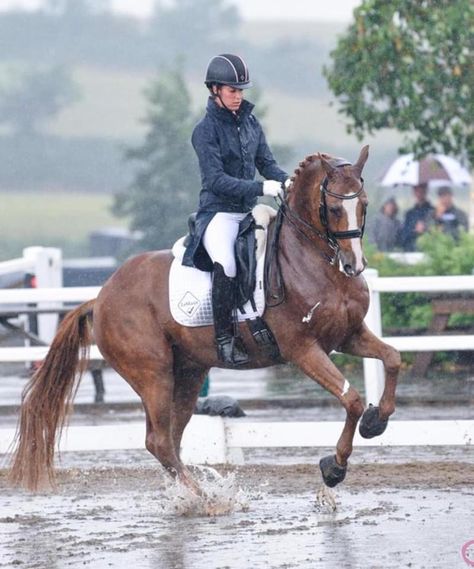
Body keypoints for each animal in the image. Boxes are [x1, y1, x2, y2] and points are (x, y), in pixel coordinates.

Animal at [8, 146, 400, 492]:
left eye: (364, 205)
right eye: (333, 208)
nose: (354, 266)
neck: (313, 261)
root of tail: (101, 297)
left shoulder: (348, 335)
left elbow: (393, 358)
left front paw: (376, 421)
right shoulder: (303, 350)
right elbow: (351, 399)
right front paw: (334, 467)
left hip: (188, 372)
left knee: (170, 438)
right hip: (153, 374)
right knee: (159, 441)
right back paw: (203, 499)